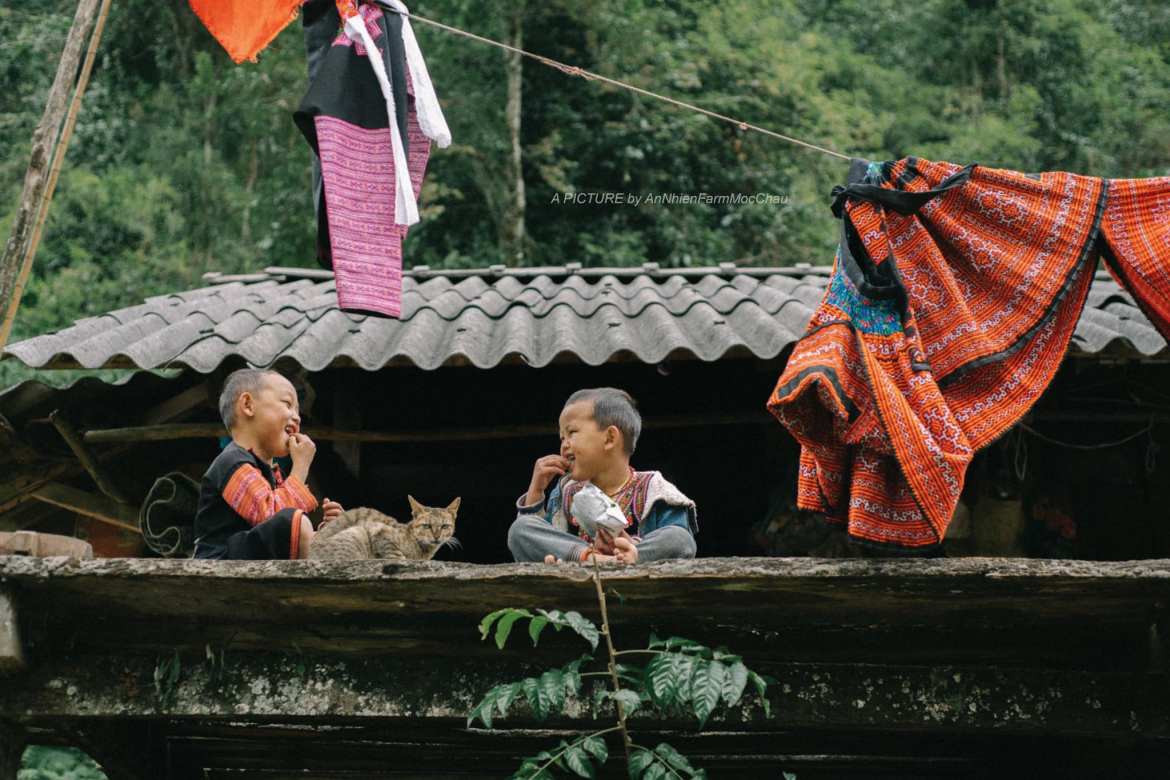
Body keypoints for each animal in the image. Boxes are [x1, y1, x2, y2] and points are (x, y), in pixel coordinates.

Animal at [311, 498, 460, 558]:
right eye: (426, 526)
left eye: (445, 526)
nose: (436, 536)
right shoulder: (379, 531)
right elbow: (396, 555)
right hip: (357, 533)